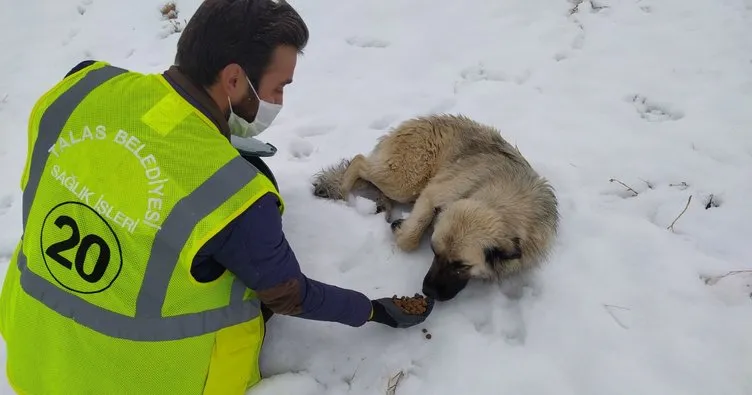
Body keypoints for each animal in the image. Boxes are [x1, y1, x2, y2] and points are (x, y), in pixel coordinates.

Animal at [310, 114, 560, 304]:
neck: (499, 203)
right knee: (359, 161)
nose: (427, 292)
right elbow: (410, 239)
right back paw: (344, 192)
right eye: (433, 252)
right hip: (406, 182)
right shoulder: (432, 194)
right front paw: (402, 230)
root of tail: (424, 119)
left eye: (461, 265)